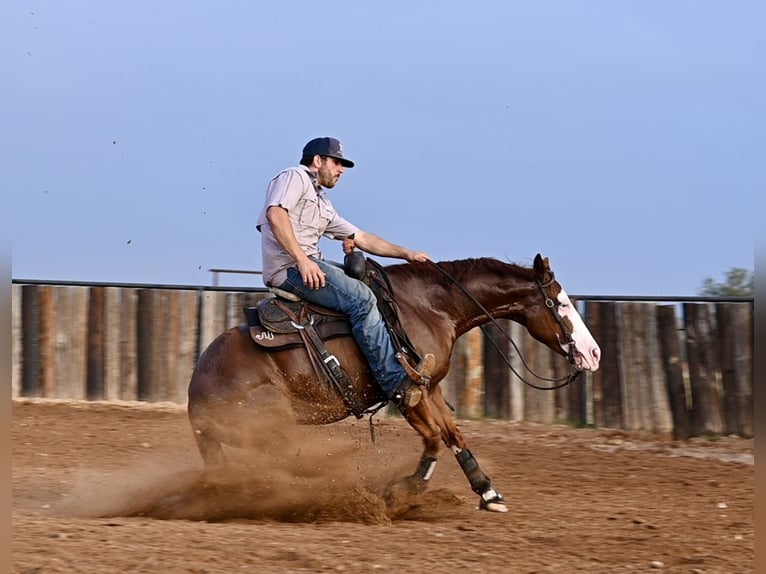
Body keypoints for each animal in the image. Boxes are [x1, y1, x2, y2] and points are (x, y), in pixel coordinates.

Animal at [188, 254, 608, 516]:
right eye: (561, 303)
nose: (594, 352)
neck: (427, 307)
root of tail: (196, 393)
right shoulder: (408, 393)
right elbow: (435, 438)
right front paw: (403, 491)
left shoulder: (431, 387)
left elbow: (453, 435)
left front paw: (489, 492)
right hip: (272, 424)